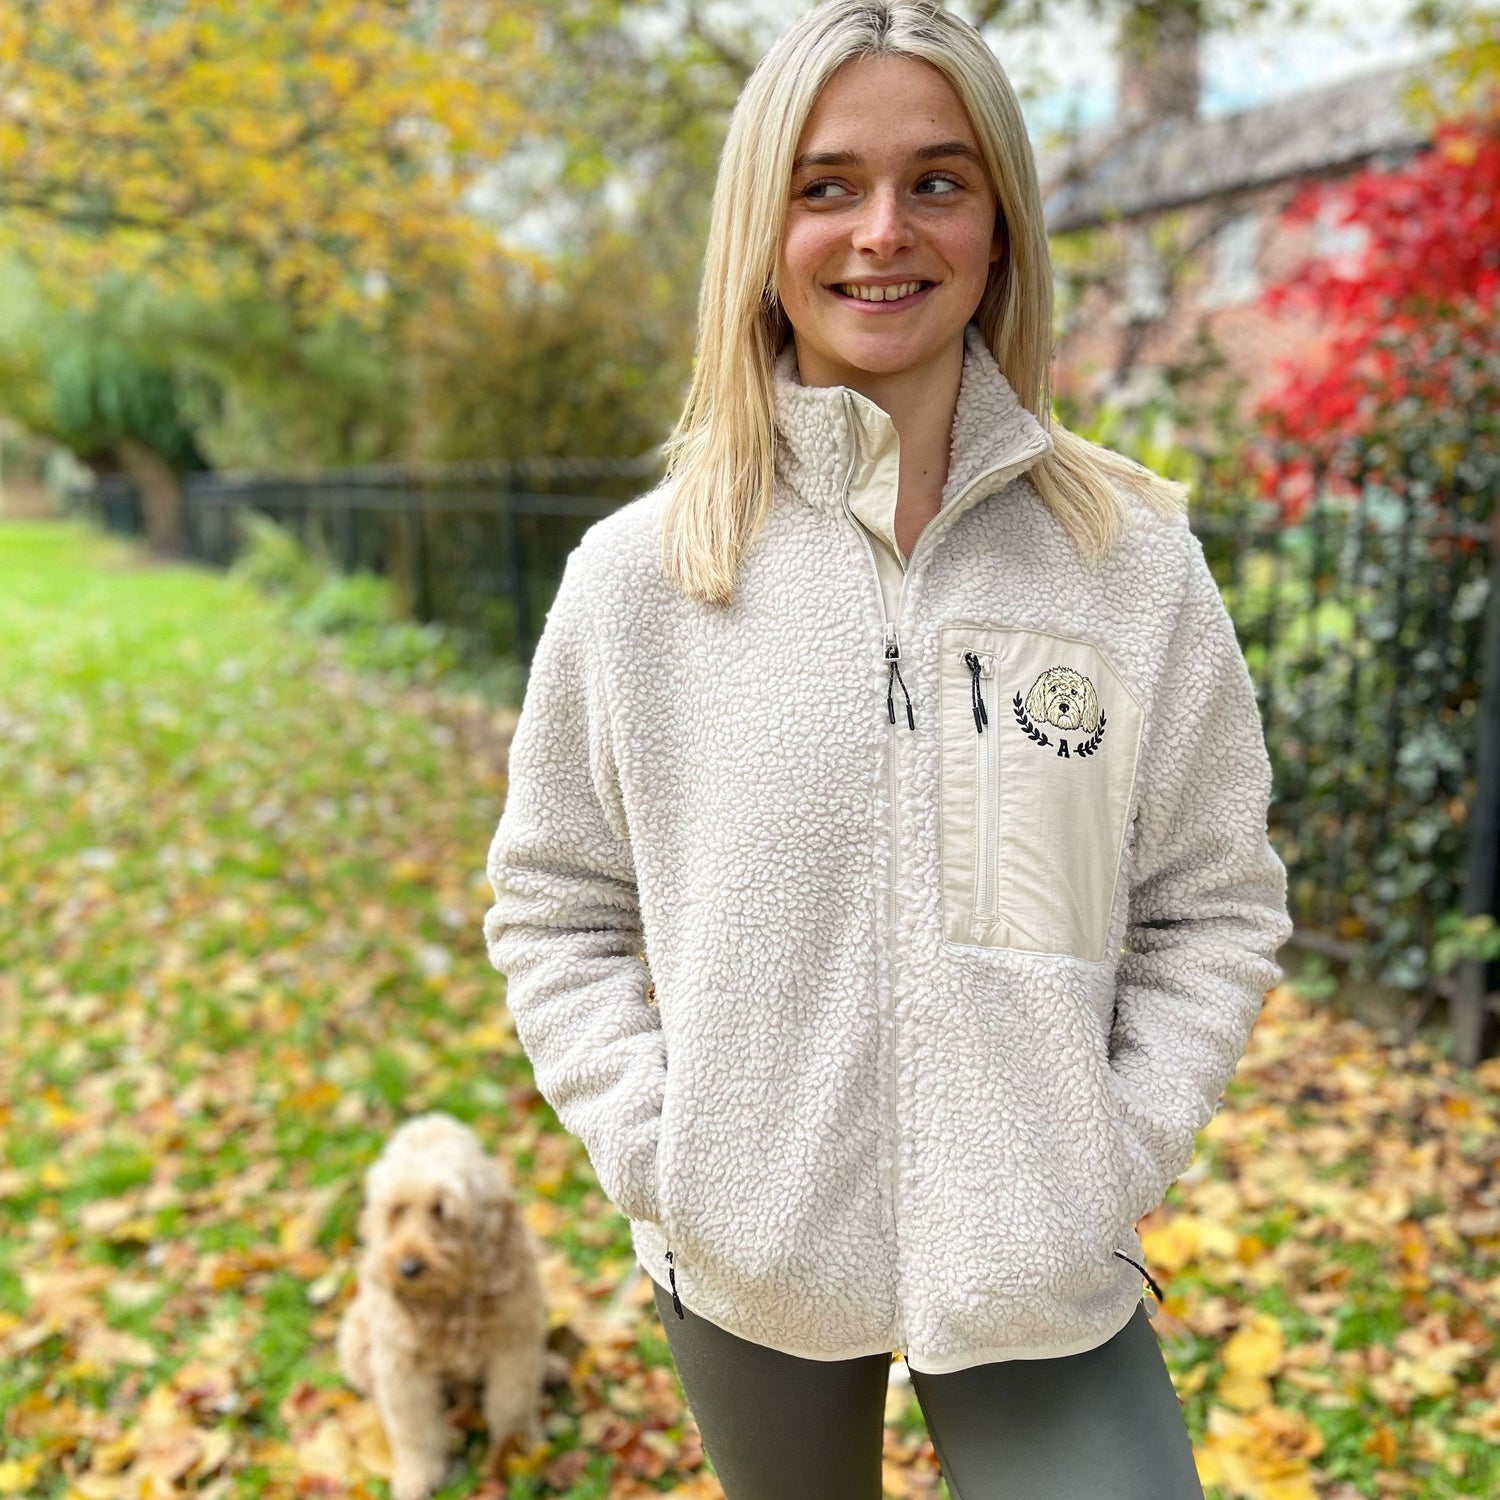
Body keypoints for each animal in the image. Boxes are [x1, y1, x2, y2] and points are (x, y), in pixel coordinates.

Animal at [337, 1116, 549, 1500]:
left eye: (442, 1209)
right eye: (397, 1210)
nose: (408, 1268)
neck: (449, 1302)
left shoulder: (514, 1348)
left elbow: (512, 1406)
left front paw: (518, 1452)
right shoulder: (402, 1370)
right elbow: (414, 1430)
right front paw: (417, 1477)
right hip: (355, 1339)